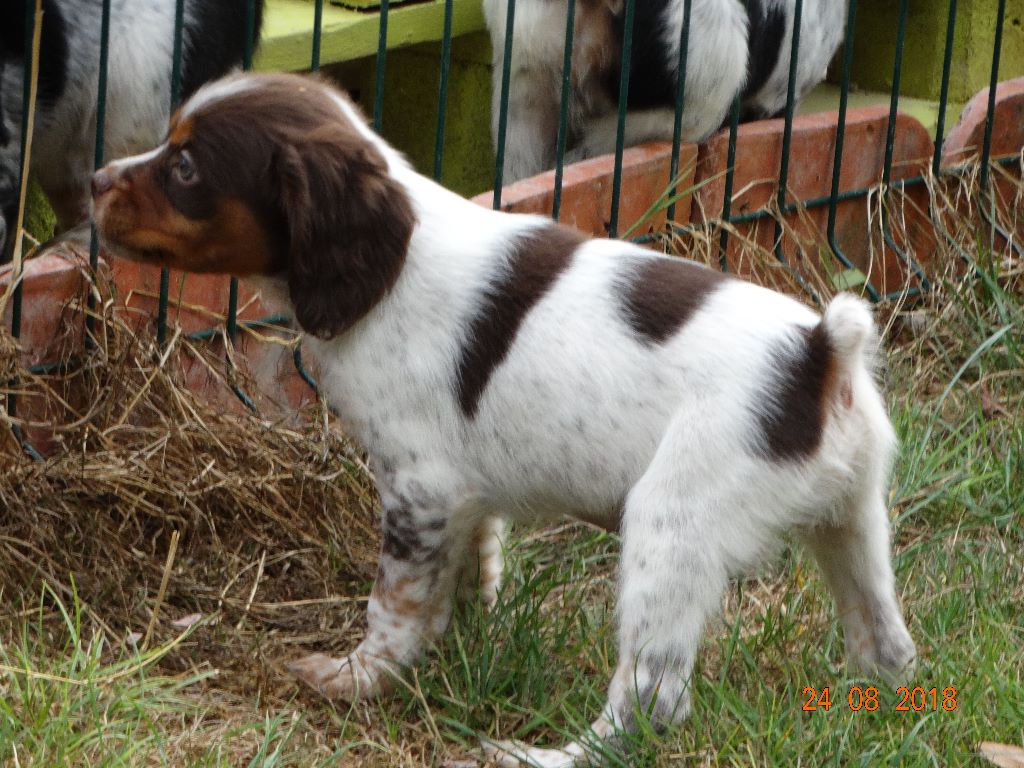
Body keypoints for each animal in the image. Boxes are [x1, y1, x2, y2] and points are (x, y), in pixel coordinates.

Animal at [91, 71, 915, 767]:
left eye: (185, 167)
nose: (94, 182)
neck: (391, 267)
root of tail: (820, 355)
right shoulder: (461, 495)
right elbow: (464, 578)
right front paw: (457, 648)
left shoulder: (418, 489)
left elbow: (394, 603)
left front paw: (358, 678)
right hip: (853, 519)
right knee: (886, 639)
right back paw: (873, 707)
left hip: (671, 524)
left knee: (651, 704)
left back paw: (545, 755)